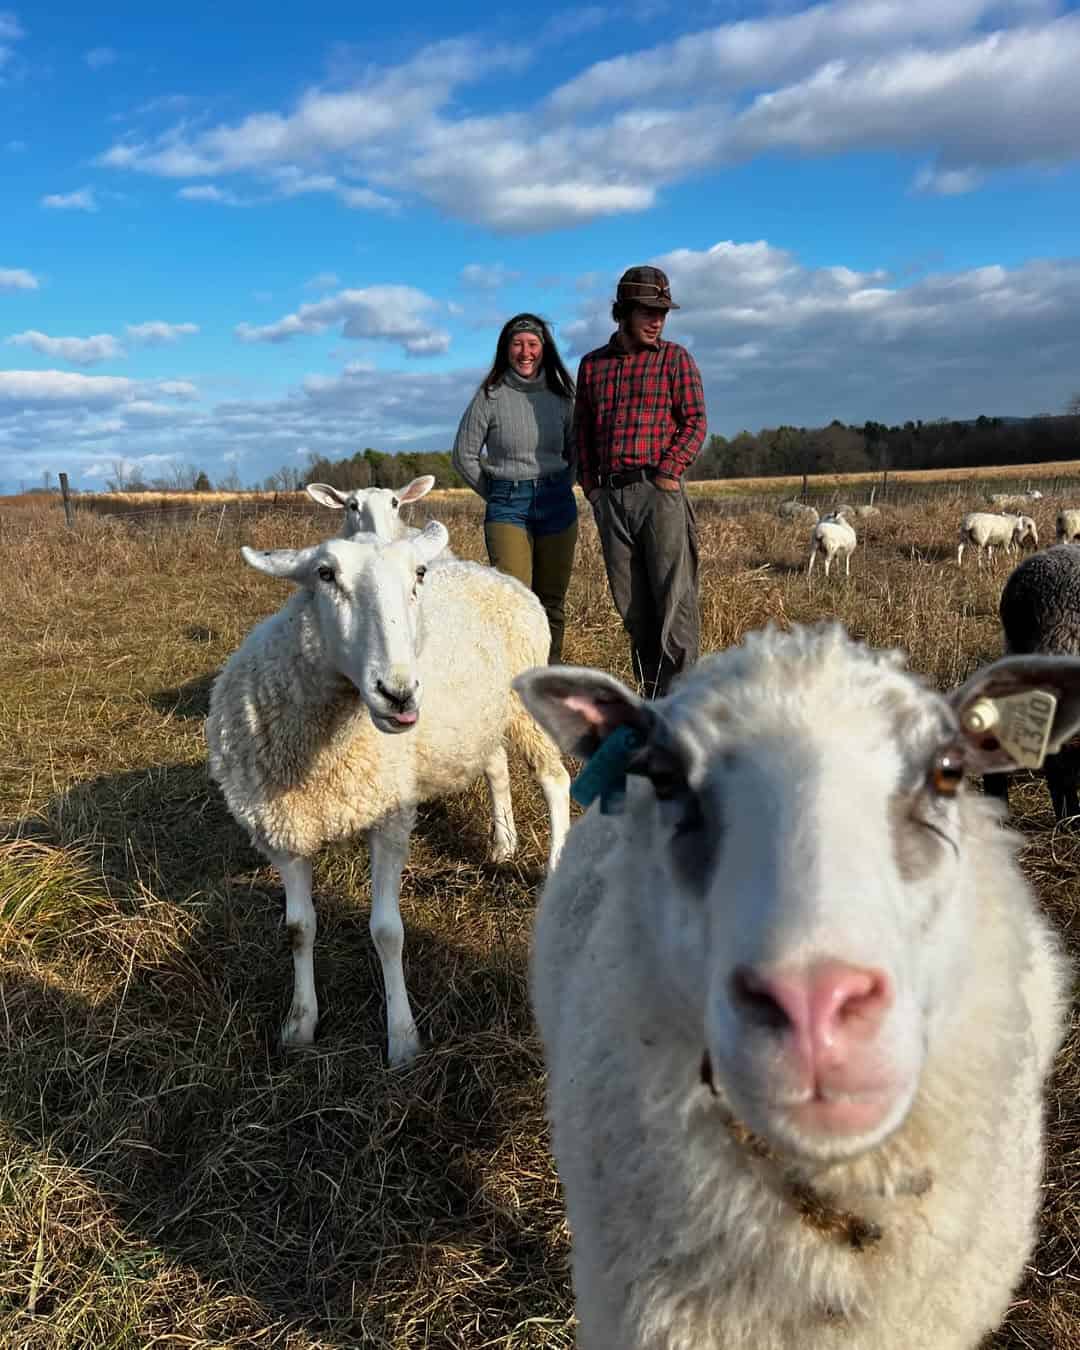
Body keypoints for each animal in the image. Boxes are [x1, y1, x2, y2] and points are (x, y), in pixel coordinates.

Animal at [205, 522, 571, 1067]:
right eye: (325, 574)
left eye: (417, 574)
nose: (398, 693)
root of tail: (492, 573)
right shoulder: (283, 830)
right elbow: (298, 929)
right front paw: (300, 1023)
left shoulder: (389, 818)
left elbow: (387, 933)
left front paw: (402, 1037)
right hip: (482, 718)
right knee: (496, 766)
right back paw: (502, 843)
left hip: (523, 703)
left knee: (555, 778)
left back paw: (554, 863)